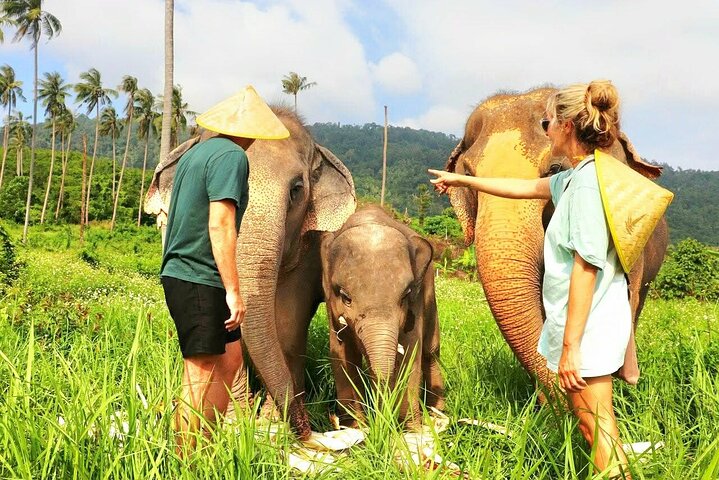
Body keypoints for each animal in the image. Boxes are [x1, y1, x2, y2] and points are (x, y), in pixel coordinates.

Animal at [320, 205, 445, 428]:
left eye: (405, 295)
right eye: (345, 297)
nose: (380, 421)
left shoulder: (416, 303)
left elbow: (411, 353)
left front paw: (410, 429)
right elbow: (341, 352)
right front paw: (355, 428)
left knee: (430, 352)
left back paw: (437, 412)